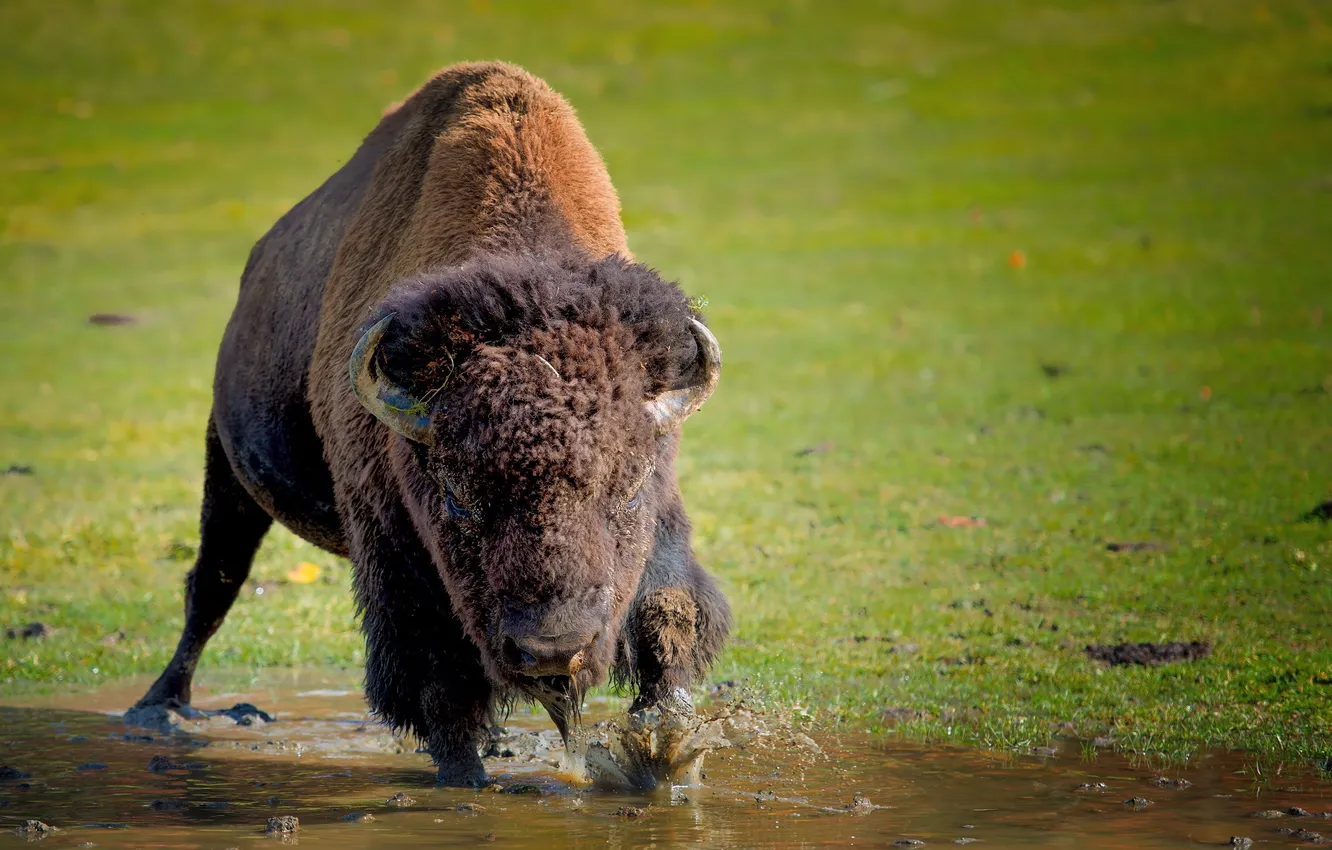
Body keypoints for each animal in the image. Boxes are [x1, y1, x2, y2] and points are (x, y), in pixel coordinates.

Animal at [131, 62, 731, 785]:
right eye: (457, 498)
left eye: (631, 488)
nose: (552, 650)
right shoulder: (394, 553)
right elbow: (438, 682)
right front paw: (465, 779)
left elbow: (671, 616)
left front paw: (667, 756)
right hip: (227, 470)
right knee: (213, 585)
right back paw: (158, 707)